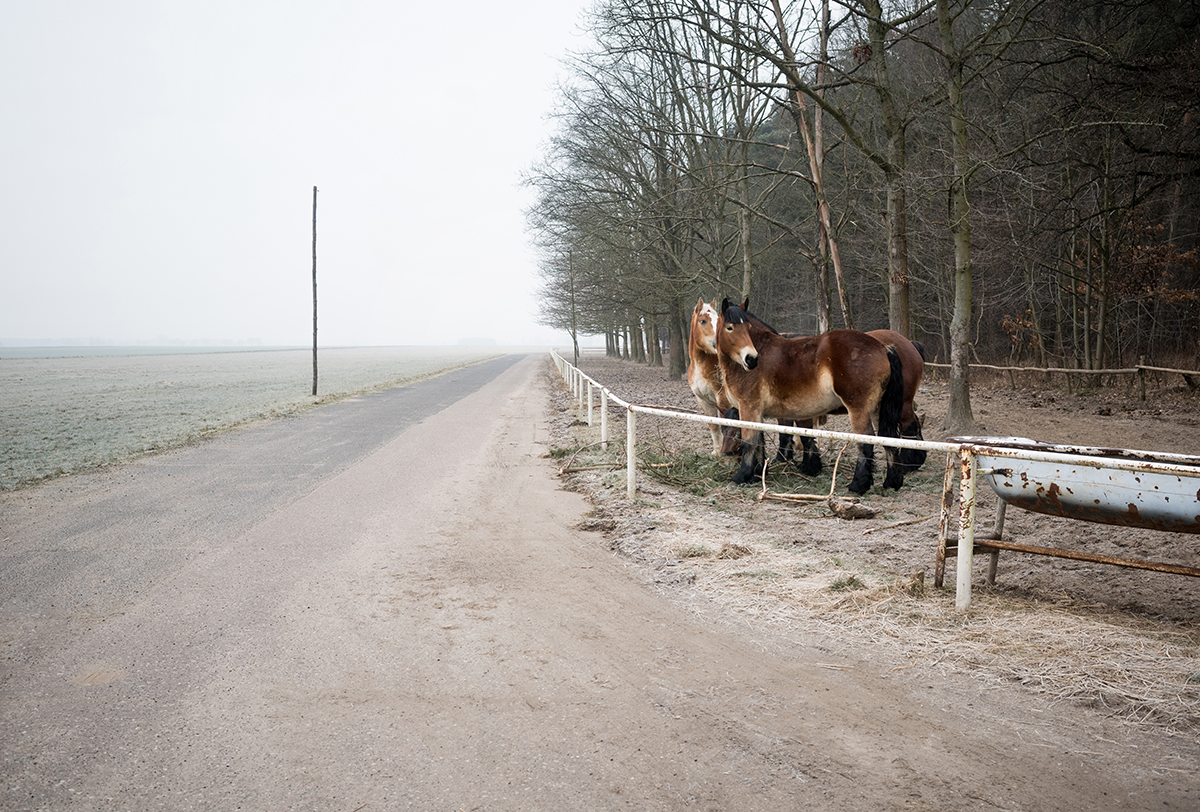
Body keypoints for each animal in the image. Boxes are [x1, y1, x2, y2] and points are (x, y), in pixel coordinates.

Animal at [715, 299, 902, 494]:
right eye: (730, 327)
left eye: (748, 328)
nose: (751, 359)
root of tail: (883, 347)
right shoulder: (756, 411)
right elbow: (759, 441)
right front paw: (756, 475)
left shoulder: (748, 408)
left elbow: (750, 441)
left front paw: (741, 477)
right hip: (878, 410)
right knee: (888, 439)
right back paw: (892, 482)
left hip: (859, 410)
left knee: (866, 442)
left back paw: (858, 485)